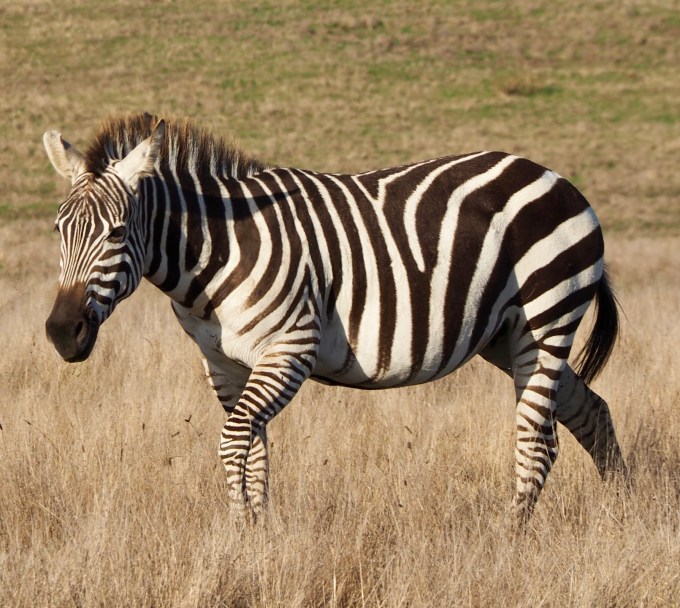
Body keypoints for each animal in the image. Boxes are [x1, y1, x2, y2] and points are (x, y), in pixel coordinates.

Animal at [43, 113, 625, 522]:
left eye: (117, 232)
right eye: (57, 230)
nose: (61, 334)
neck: (217, 250)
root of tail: (554, 177)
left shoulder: (290, 347)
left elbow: (234, 442)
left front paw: (239, 535)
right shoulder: (224, 362)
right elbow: (254, 450)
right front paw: (256, 536)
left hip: (547, 316)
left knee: (538, 438)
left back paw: (511, 536)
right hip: (507, 336)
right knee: (590, 410)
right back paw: (623, 515)